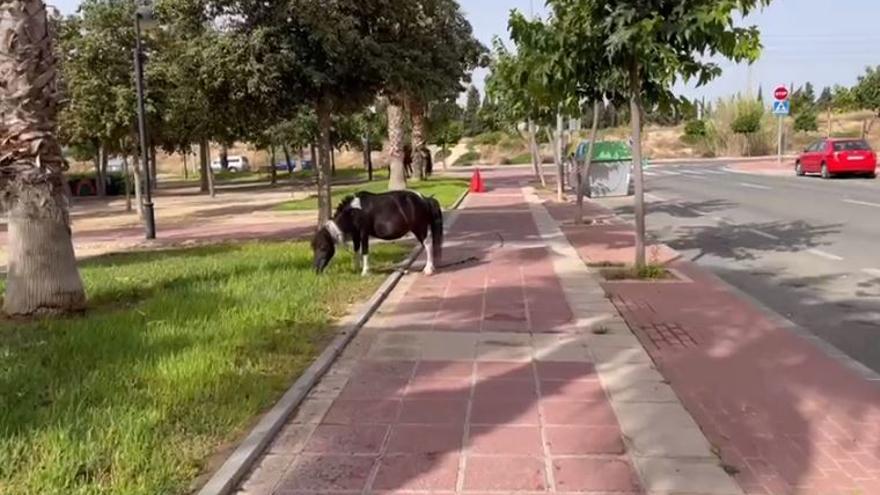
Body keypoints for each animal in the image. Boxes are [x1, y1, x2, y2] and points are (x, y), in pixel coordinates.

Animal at [312, 190, 446, 278]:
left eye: (323, 247)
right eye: (314, 248)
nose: (316, 270)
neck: (353, 212)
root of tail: (425, 199)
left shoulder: (363, 233)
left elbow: (364, 251)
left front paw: (365, 272)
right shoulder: (356, 235)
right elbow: (356, 251)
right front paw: (356, 268)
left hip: (419, 228)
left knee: (428, 245)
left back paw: (428, 269)